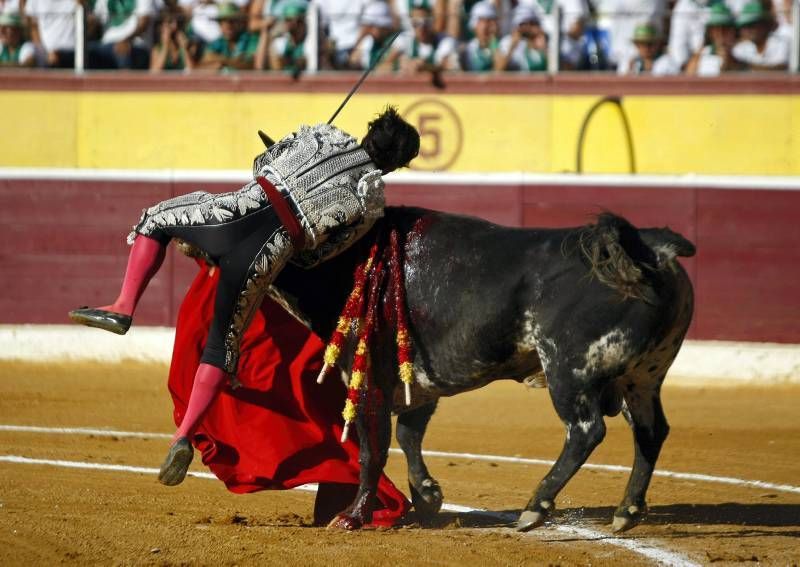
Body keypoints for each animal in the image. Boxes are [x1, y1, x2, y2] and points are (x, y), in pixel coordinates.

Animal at [270, 206, 692, 536]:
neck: (350, 259)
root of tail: (647, 247)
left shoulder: (369, 379)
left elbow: (373, 449)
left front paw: (353, 516)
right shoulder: (420, 380)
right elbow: (408, 434)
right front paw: (428, 496)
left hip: (569, 371)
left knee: (586, 431)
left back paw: (535, 508)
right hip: (642, 378)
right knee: (650, 431)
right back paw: (626, 512)